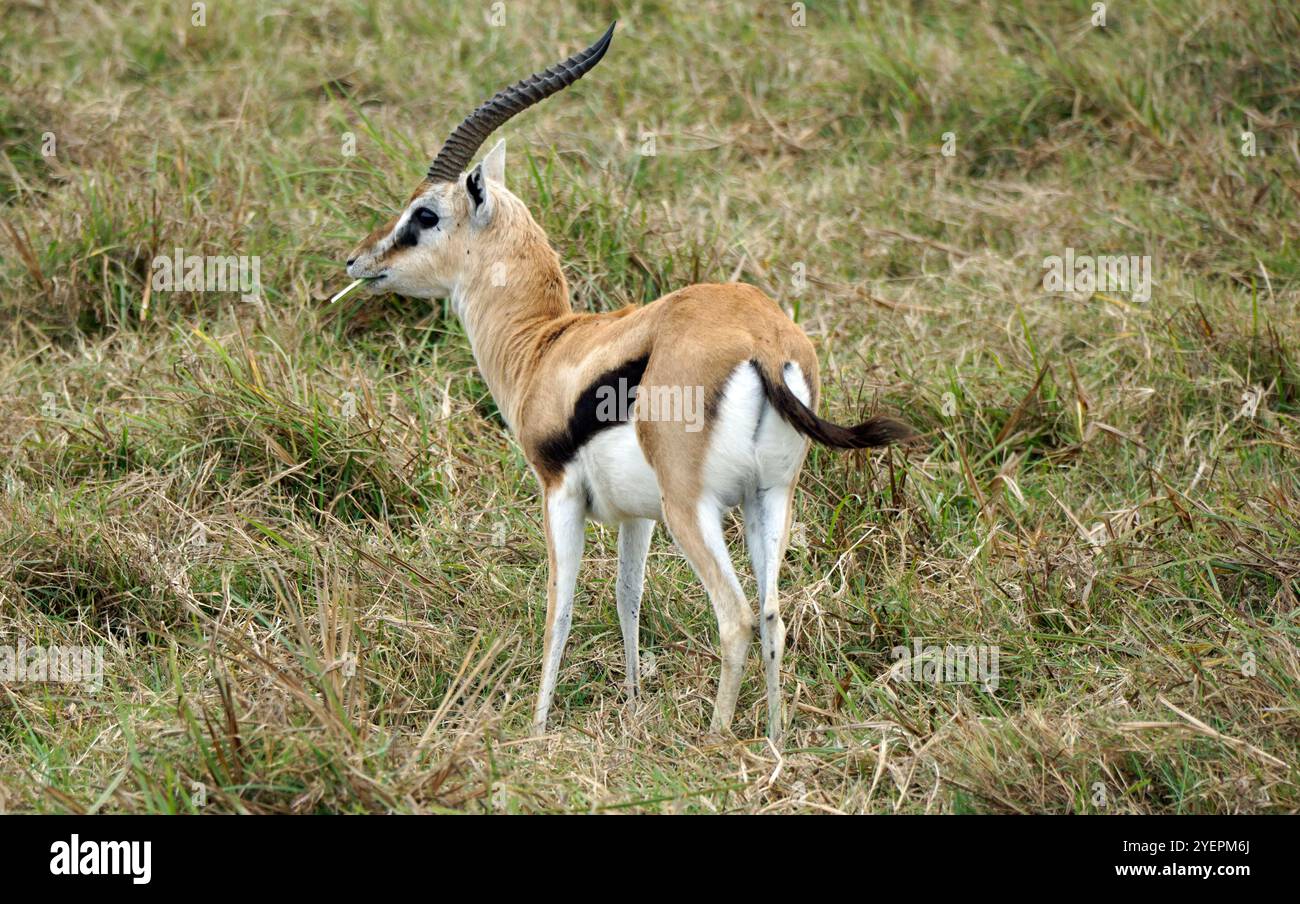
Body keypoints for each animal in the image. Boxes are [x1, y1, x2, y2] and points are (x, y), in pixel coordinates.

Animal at [341, 22, 914, 741]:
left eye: (423, 215)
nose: (358, 260)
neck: (545, 345)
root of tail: (763, 337)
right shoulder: (634, 515)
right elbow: (627, 596)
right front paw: (635, 698)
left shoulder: (558, 492)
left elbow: (559, 606)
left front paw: (536, 728)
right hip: (769, 498)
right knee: (774, 614)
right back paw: (775, 740)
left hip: (693, 508)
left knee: (736, 617)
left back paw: (715, 739)